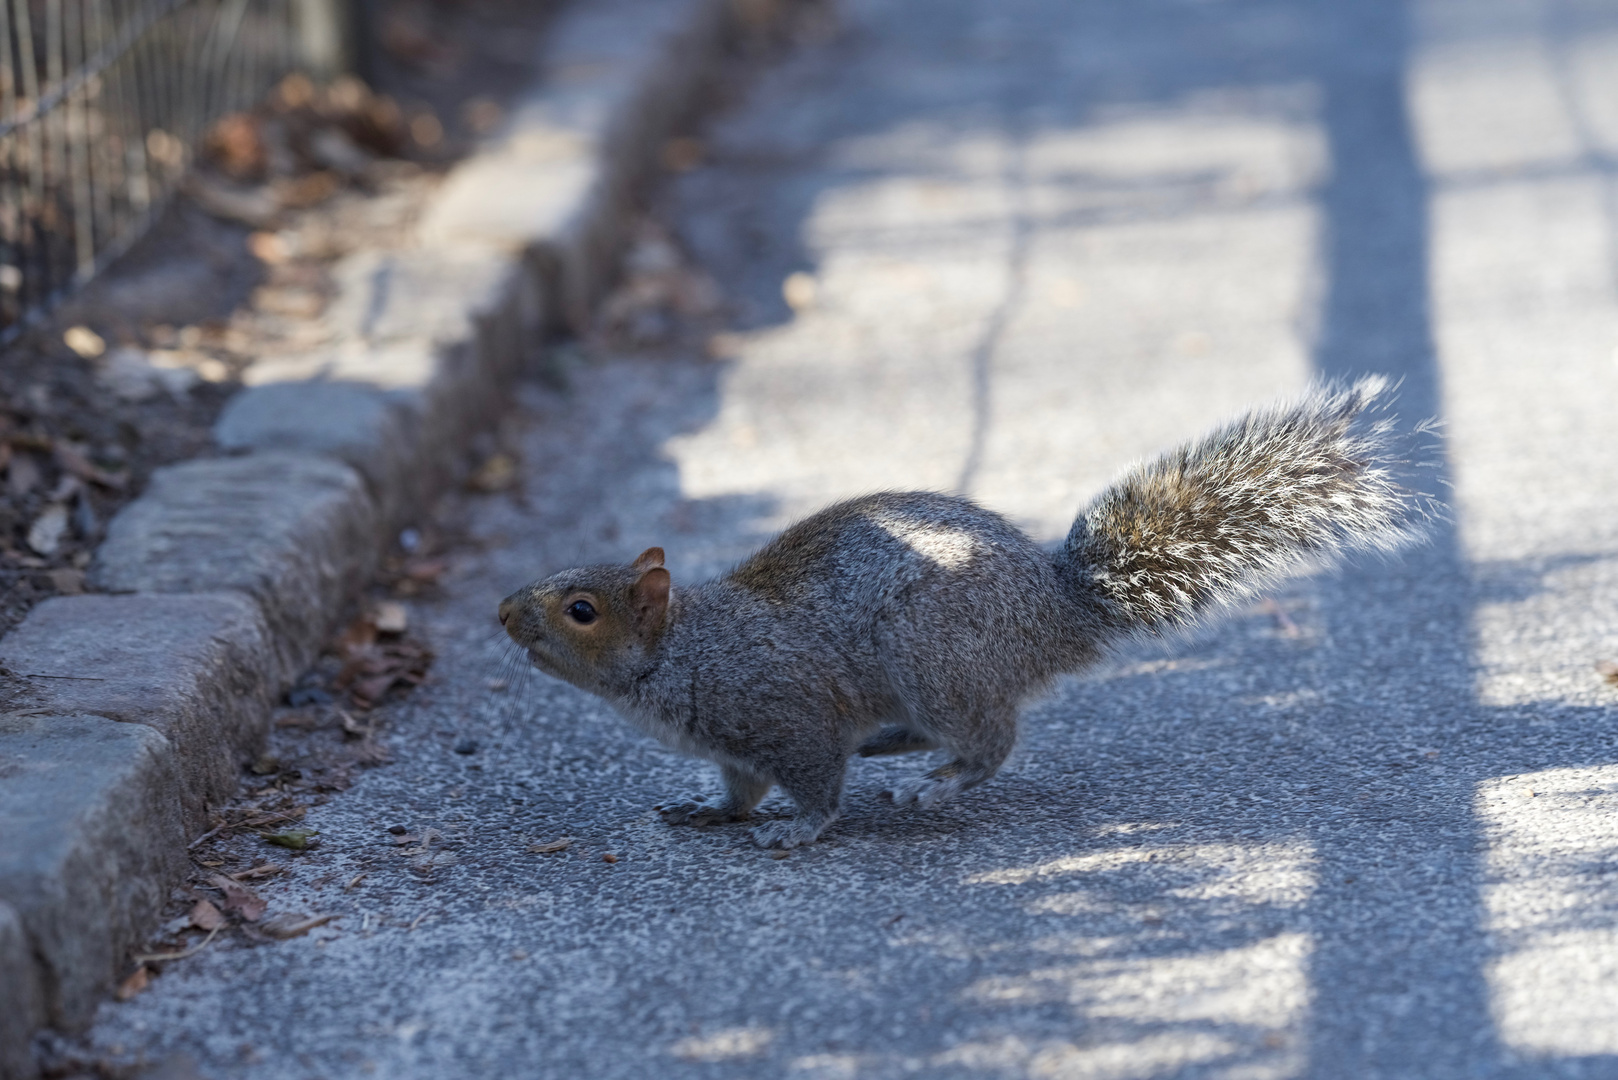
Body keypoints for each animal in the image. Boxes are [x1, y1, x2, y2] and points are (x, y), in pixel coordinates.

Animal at [498, 375, 1436, 848]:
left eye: (580, 609)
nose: (503, 612)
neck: (686, 649)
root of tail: (1055, 613)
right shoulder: (737, 745)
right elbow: (739, 788)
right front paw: (712, 813)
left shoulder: (783, 710)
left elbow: (814, 781)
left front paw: (800, 830)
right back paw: (894, 748)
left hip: (934, 655)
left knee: (991, 739)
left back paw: (938, 783)